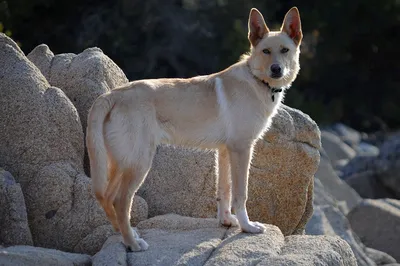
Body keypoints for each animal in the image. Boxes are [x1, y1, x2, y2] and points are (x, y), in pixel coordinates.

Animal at [86, 6, 302, 251]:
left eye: (285, 50)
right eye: (266, 51)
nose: (277, 69)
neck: (256, 80)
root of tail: (112, 95)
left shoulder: (225, 151)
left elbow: (224, 190)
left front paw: (227, 221)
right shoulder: (241, 149)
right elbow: (240, 194)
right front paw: (247, 227)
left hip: (121, 162)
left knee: (106, 196)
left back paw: (124, 235)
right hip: (139, 162)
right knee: (121, 201)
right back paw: (133, 243)